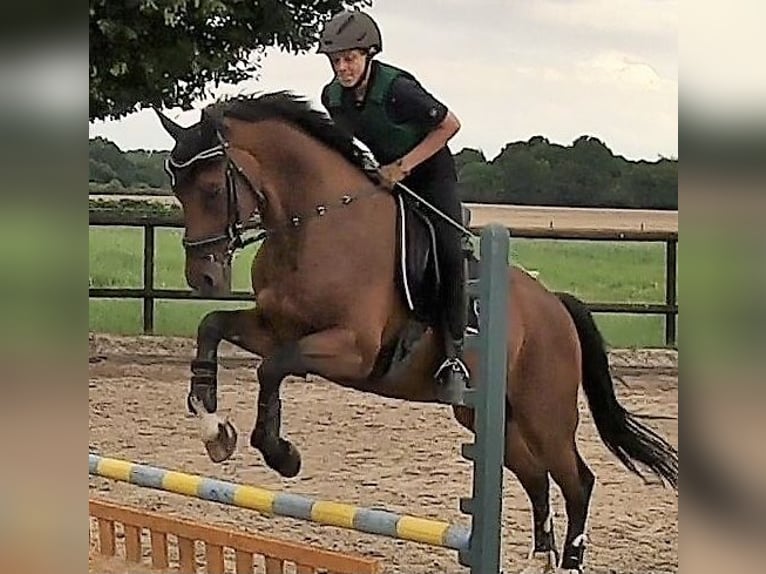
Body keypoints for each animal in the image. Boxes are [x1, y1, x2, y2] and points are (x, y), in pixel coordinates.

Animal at [154, 92, 680, 572]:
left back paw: (568, 561)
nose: (203, 278)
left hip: (544, 413)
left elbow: (272, 368)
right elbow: (212, 327)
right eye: (176, 188)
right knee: (535, 476)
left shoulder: (351, 349)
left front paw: (281, 454)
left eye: (211, 189)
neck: (318, 225)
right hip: (489, 416)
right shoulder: (276, 327)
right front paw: (213, 427)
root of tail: (557, 307)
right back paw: (542, 558)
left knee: (577, 481)